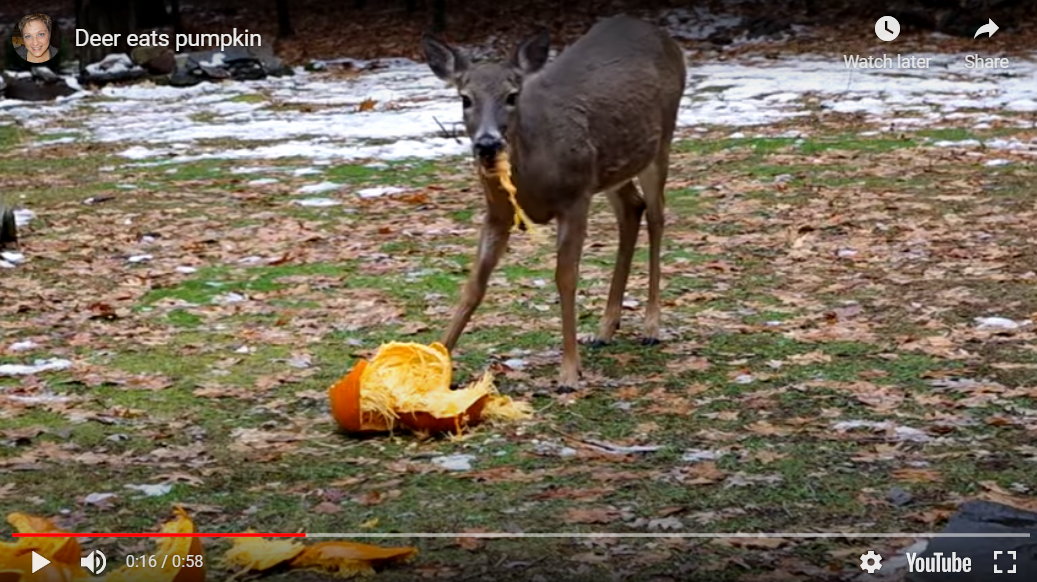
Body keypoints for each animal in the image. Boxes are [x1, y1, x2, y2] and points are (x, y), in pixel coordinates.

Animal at [421, 14, 688, 390]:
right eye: (465, 98)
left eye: (512, 95)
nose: (487, 144)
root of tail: (661, 35)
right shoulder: (496, 214)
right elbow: (474, 284)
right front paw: (437, 360)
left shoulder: (574, 198)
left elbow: (566, 278)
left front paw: (569, 373)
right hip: (610, 170)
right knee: (631, 207)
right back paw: (604, 329)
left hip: (661, 140)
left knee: (657, 215)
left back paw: (651, 326)